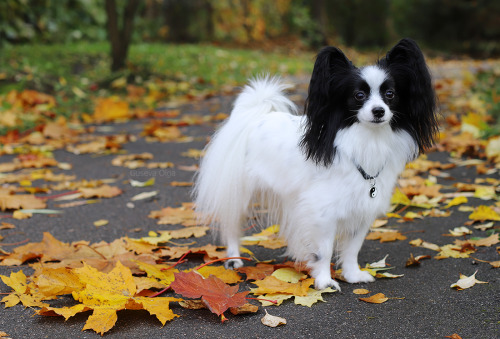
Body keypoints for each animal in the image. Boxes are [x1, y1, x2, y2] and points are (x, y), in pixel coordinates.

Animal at [192, 38, 438, 290]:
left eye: (390, 94)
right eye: (359, 95)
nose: (379, 111)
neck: (367, 139)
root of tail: (255, 117)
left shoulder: (362, 208)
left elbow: (352, 249)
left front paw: (352, 275)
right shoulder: (322, 212)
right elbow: (325, 250)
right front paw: (324, 281)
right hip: (239, 193)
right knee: (231, 226)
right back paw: (233, 259)